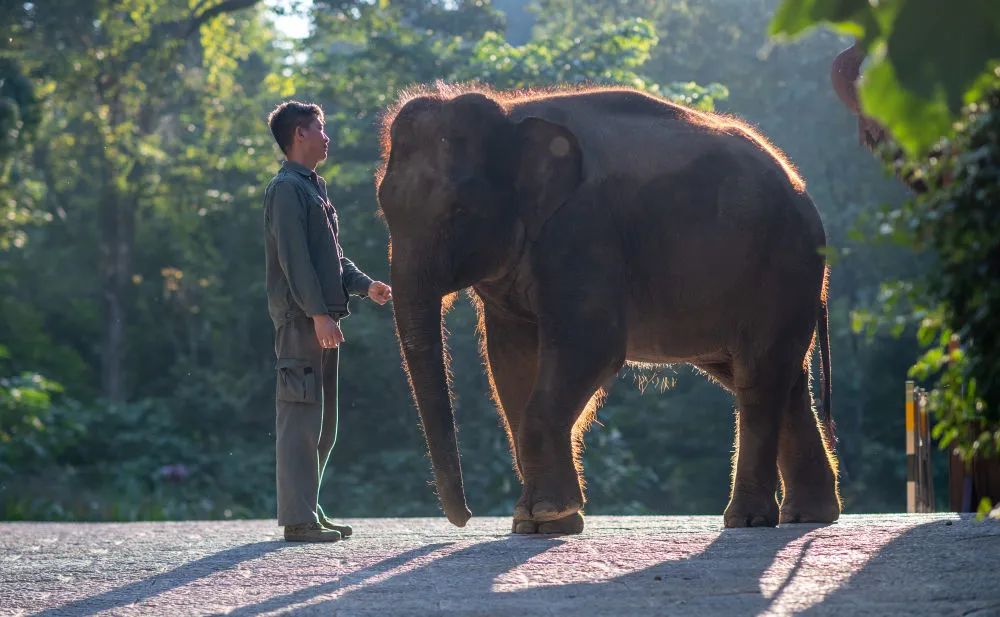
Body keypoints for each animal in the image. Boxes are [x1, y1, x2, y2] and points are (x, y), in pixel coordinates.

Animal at [378, 84, 840, 532]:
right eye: (384, 207)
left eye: (460, 210)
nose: (465, 517)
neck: (511, 114)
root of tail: (799, 185)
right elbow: (510, 361)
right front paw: (541, 524)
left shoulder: (584, 230)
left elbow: (590, 347)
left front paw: (546, 514)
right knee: (777, 379)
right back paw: (809, 516)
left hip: (783, 268)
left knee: (759, 377)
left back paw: (748, 520)